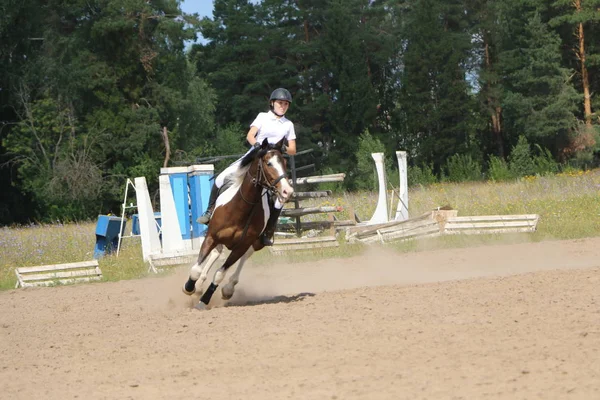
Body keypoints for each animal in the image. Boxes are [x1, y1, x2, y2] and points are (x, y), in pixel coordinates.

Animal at [183, 138, 296, 306]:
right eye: (268, 163)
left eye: (284, 162)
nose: (287, 191)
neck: (240, 208)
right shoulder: (211, 237)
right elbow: (196, 269)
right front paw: (189, 287)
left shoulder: (241, 246)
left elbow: (220, 274)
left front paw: (204, 300)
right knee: (216, 254)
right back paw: (199, 286)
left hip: (255, 243)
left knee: (243, 257)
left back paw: (228, 288)